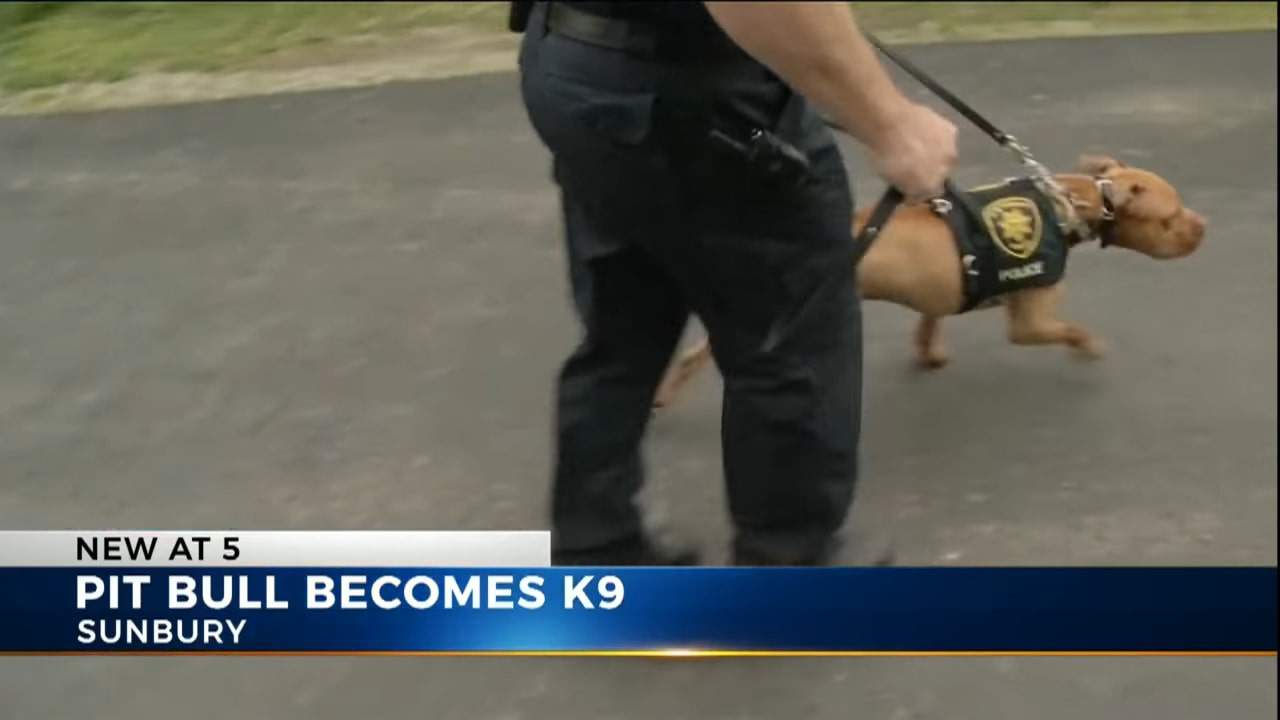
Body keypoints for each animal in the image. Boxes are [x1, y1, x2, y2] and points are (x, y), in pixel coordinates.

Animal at [655, 153, 1203, 407]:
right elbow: (1071, 329)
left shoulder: (940, 293)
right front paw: (1088, 347)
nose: (1204, 227)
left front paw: (930, 355)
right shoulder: (1028, 323)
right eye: (1171, 218)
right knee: (699, 357)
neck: (1065, 203)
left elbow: (928, 324)